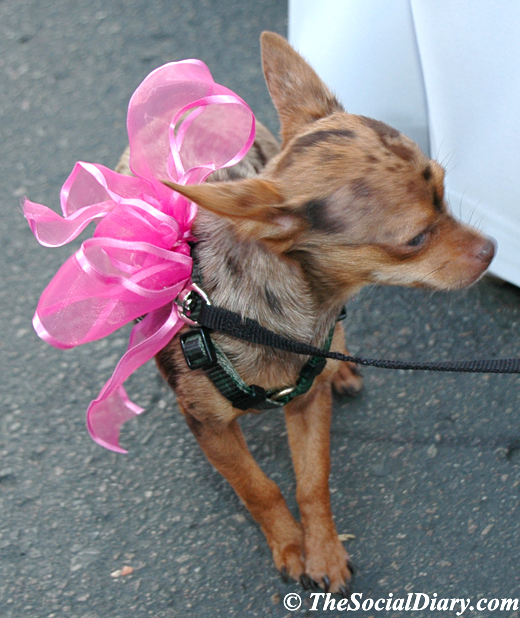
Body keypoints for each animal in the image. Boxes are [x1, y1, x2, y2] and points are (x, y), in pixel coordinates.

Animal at [119, 31, 496, 596]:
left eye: (446, 191)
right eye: (414, 239)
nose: (493, 250)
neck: (273, 315)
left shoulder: (307, 402)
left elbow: (312, 480)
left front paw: (323, 549)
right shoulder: (210, 429)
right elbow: (259, 488)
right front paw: (291, 545)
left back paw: (338, 363)